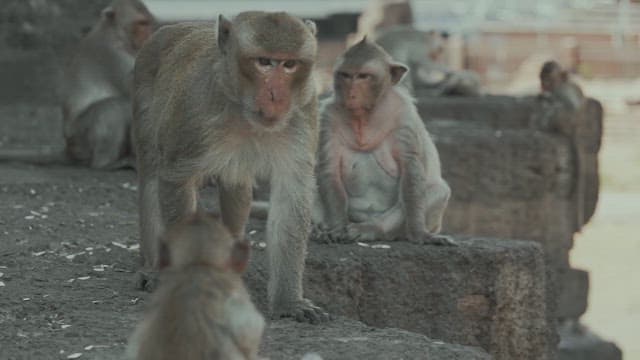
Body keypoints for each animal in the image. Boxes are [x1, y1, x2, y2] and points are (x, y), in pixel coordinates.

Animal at [133, 11, 328, 322]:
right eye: (264, 62)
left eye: (289, 64)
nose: (276, 95)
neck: (243, 111)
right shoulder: (193, 116)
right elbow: (175, 180)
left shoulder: (304, 113)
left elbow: (291, 194)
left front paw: (289, 303)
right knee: (152, 172)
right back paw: (152, 267)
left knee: (236, 186)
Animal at [316, 39, 456, 246]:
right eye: (345, 75)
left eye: (363, 76)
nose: (351, 93)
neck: (364, 117)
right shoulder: (327, 118)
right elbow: (329, 170)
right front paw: (336, 230)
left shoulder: (404, 115)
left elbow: (411, 169)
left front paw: (420, 234)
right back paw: (321, 229)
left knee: (437, 190)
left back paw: (372, 230)